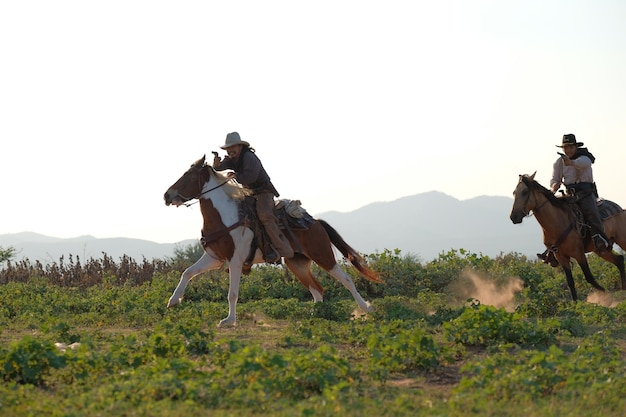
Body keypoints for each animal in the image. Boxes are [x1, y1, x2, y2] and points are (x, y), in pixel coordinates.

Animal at [162, 155, 380, 324]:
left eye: (187, 175)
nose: (166, 195)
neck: (224, 216)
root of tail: (316, 222)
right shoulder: (214, 257)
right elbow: (187, 273)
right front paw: (173, 301)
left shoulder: (235, 260)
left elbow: (232, 293)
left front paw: (229, 320)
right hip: (297, 263)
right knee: (317, 289)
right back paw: (315, 315)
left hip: (323, 255)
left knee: (346, 280)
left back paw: (367, 309)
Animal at [510, 171, 620, 300]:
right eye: (514, 192)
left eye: (524, 192)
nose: (514, 216)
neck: (557, 223)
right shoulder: (561, 257)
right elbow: (570, 282)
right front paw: (575, 303)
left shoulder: (579, 254)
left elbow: (589, 277)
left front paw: (606, 296)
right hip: (600, 250)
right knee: (619, 260)